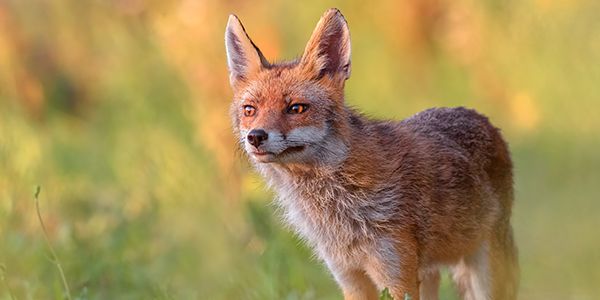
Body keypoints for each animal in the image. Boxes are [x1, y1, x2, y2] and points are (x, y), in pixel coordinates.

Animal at [224, 8, 516, 300]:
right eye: (250, 110)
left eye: (296, 108)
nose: (256, 137)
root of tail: (476, 115)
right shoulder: (349, 277)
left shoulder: (397, 275)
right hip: (428, 274)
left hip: (484, 274)